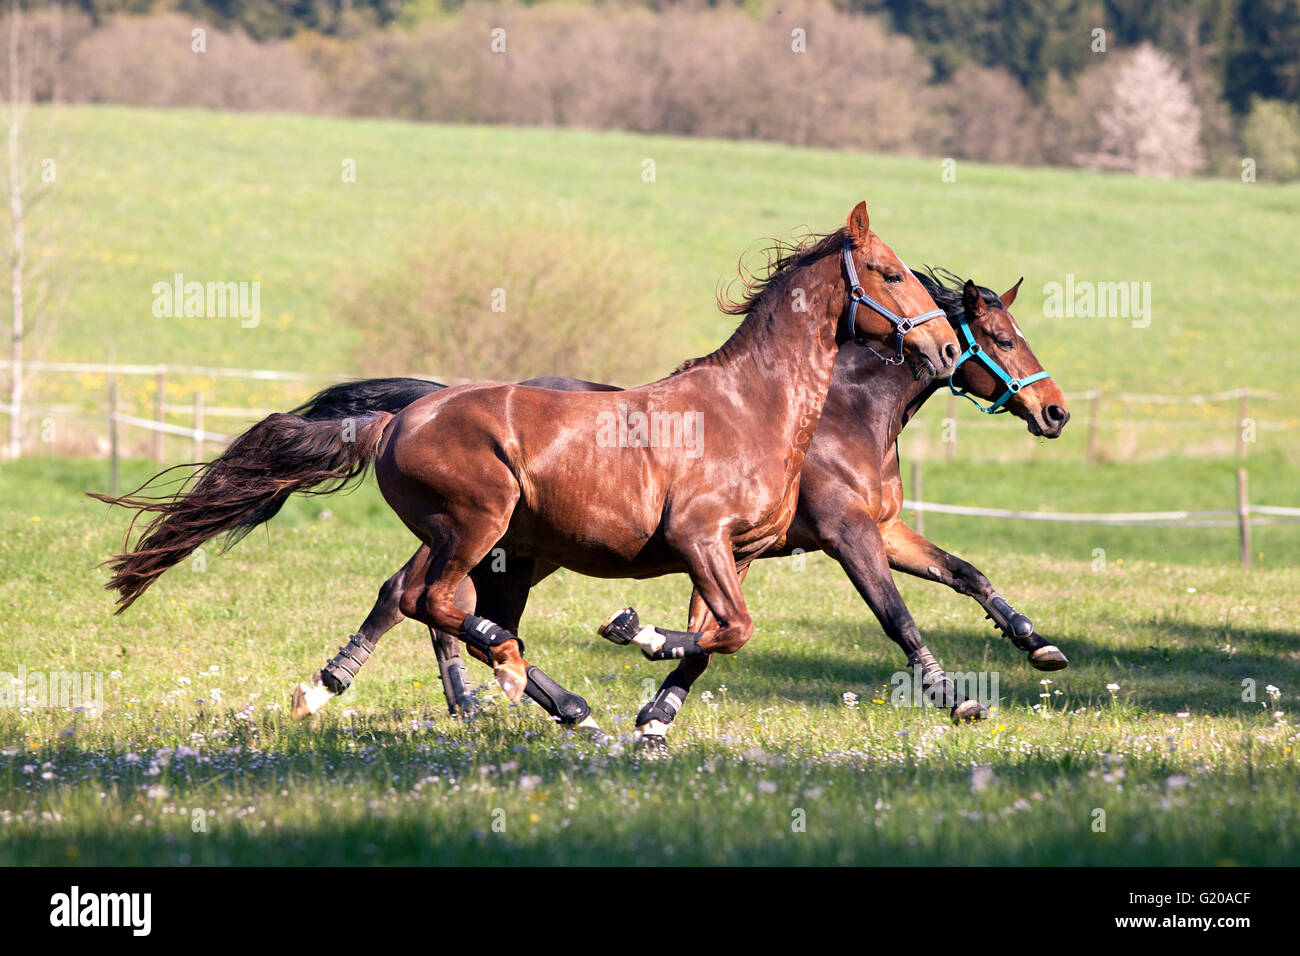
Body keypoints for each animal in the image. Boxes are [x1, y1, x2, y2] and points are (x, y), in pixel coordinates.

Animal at [91, 201, 961, 712]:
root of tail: (401, 415)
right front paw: (632, 631)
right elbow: (738, 628)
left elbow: (721, 632)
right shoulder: (703, 540)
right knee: (432, 601)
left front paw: (652, 691)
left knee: (424, 600)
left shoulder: (738, 551)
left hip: (500, 544)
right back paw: (519, 680)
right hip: (480, 523)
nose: (949, 348)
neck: (755, 408)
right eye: (889, 273)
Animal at [284, 261, 1066, 733]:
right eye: (1001, 337)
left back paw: (444, 696)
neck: (837, 413)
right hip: (503, 539)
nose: (1054, 411)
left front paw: (1039, 645)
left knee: (423, 598)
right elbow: (894, 615)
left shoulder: (872, 530)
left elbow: (967, 573)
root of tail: (426, 406)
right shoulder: (845, 534)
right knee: (425, 598)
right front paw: (955, 698)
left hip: (515, 546)